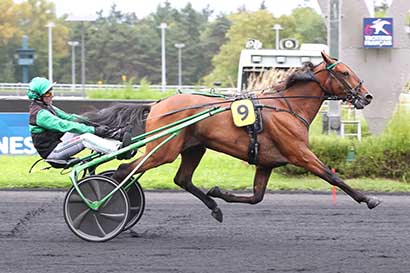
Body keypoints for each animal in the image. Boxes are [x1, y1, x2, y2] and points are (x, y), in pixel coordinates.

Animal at [89, 51, 382, 221]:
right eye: (344, 72)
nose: (367, 96)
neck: (287, 106)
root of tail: (158, 104)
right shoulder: (299, 153)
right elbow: (333, 176)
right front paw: (369, 199)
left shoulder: (266, 163)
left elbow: (256, 196)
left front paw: (219, 192)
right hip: (164, 150)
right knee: (123, 171)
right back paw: (103, 207)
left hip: (193, 147)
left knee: (181, 179)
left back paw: (214, 207)